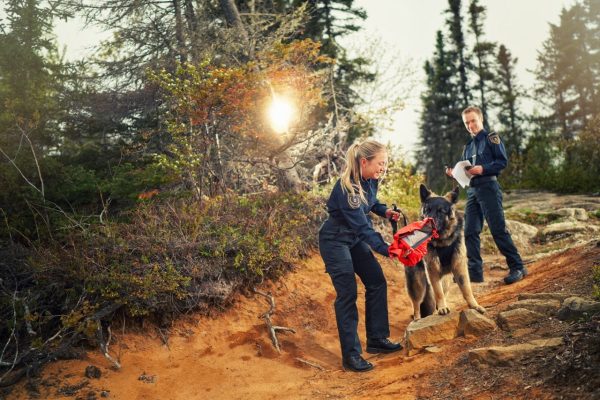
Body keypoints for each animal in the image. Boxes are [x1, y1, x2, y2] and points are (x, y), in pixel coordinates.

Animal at [406, 184, 486, 318]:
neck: (443, 241)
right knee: (417, 304)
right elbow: (438, 292)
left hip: (446, 281)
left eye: (441, 211)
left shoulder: (460, 267)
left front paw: (474, 306)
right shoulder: (432, 270)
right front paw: (443, 308)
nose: (426, 225)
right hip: (418, 284)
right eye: (427, 210)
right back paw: (418, 318)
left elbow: (467, 289)